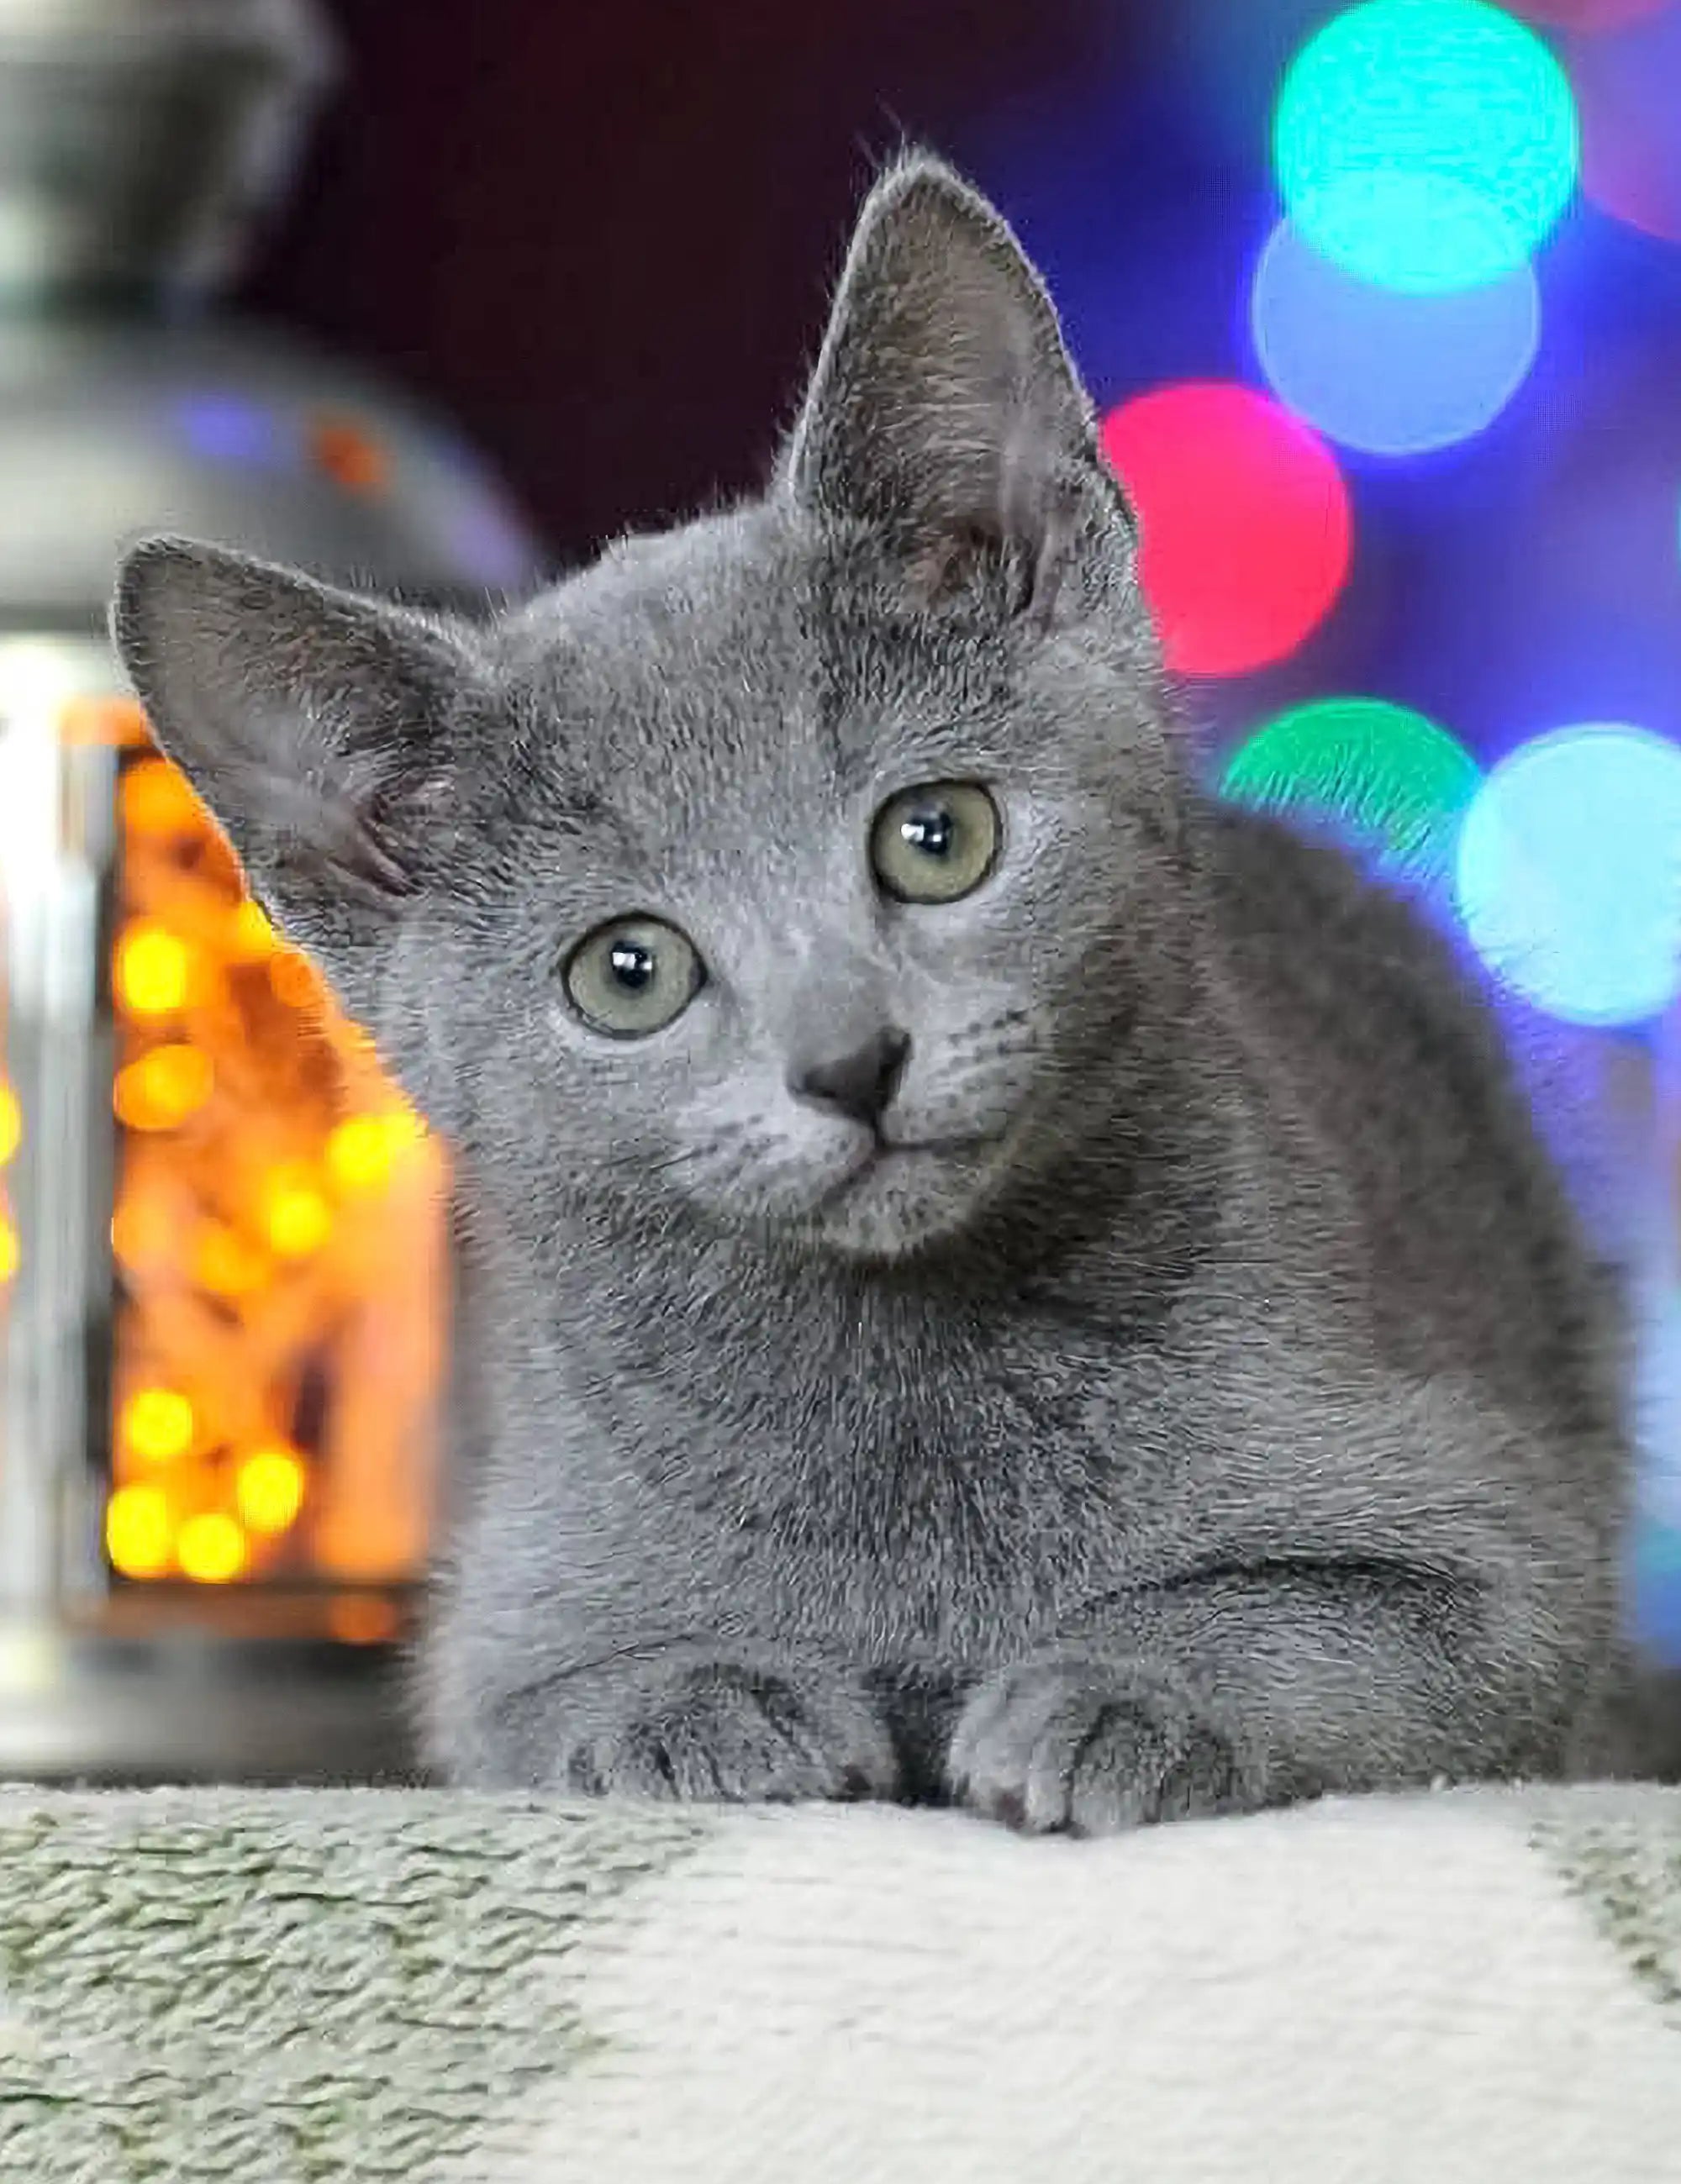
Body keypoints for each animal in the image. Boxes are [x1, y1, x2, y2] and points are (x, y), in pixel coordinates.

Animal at [108, 154, 1624, 1825]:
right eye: (627, 972)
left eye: (936, 836)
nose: (850, 1060)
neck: (913, 1383)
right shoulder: (504, 1633)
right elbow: (562, 1692)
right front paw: (710, 1713)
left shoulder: (1503, 1555)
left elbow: (1312, 1620)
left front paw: (1113, 1696)